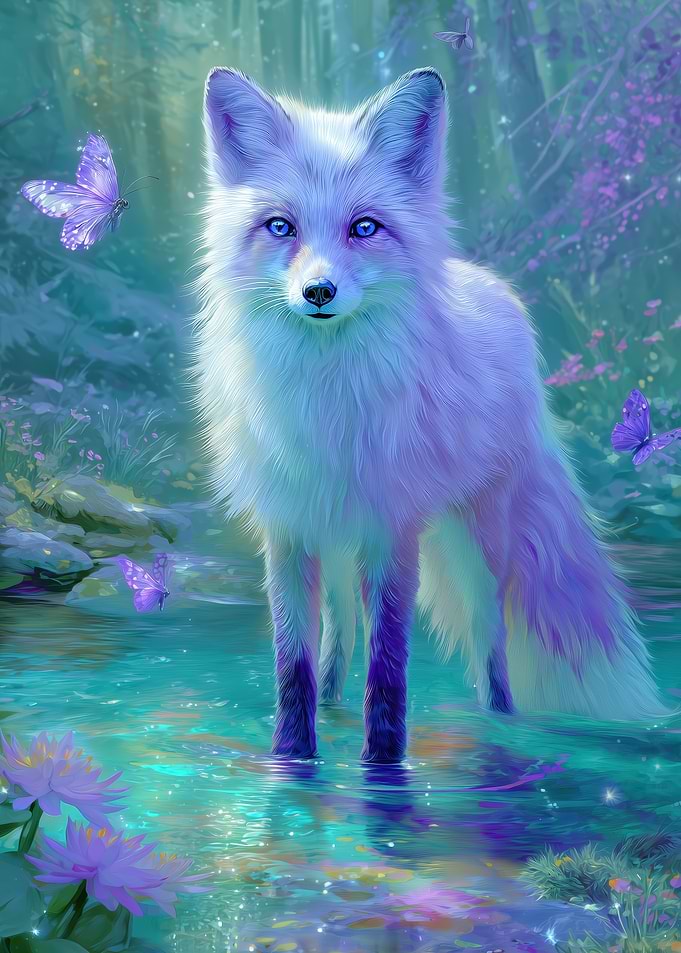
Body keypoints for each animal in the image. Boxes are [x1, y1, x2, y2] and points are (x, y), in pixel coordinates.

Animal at [193, 65, 666, 763]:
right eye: (281, 227)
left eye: (364, 228)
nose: (318, 292)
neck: (326, 404)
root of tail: (488, 284)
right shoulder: (289, 532)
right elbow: (292, 669)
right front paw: (292, 761)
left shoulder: (394, 531)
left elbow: (388, 671)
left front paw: (383, 766)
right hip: (339, 548)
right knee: (339, 636)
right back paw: (332, 709)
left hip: (477, 548)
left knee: (490, 644)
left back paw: (500, 726)